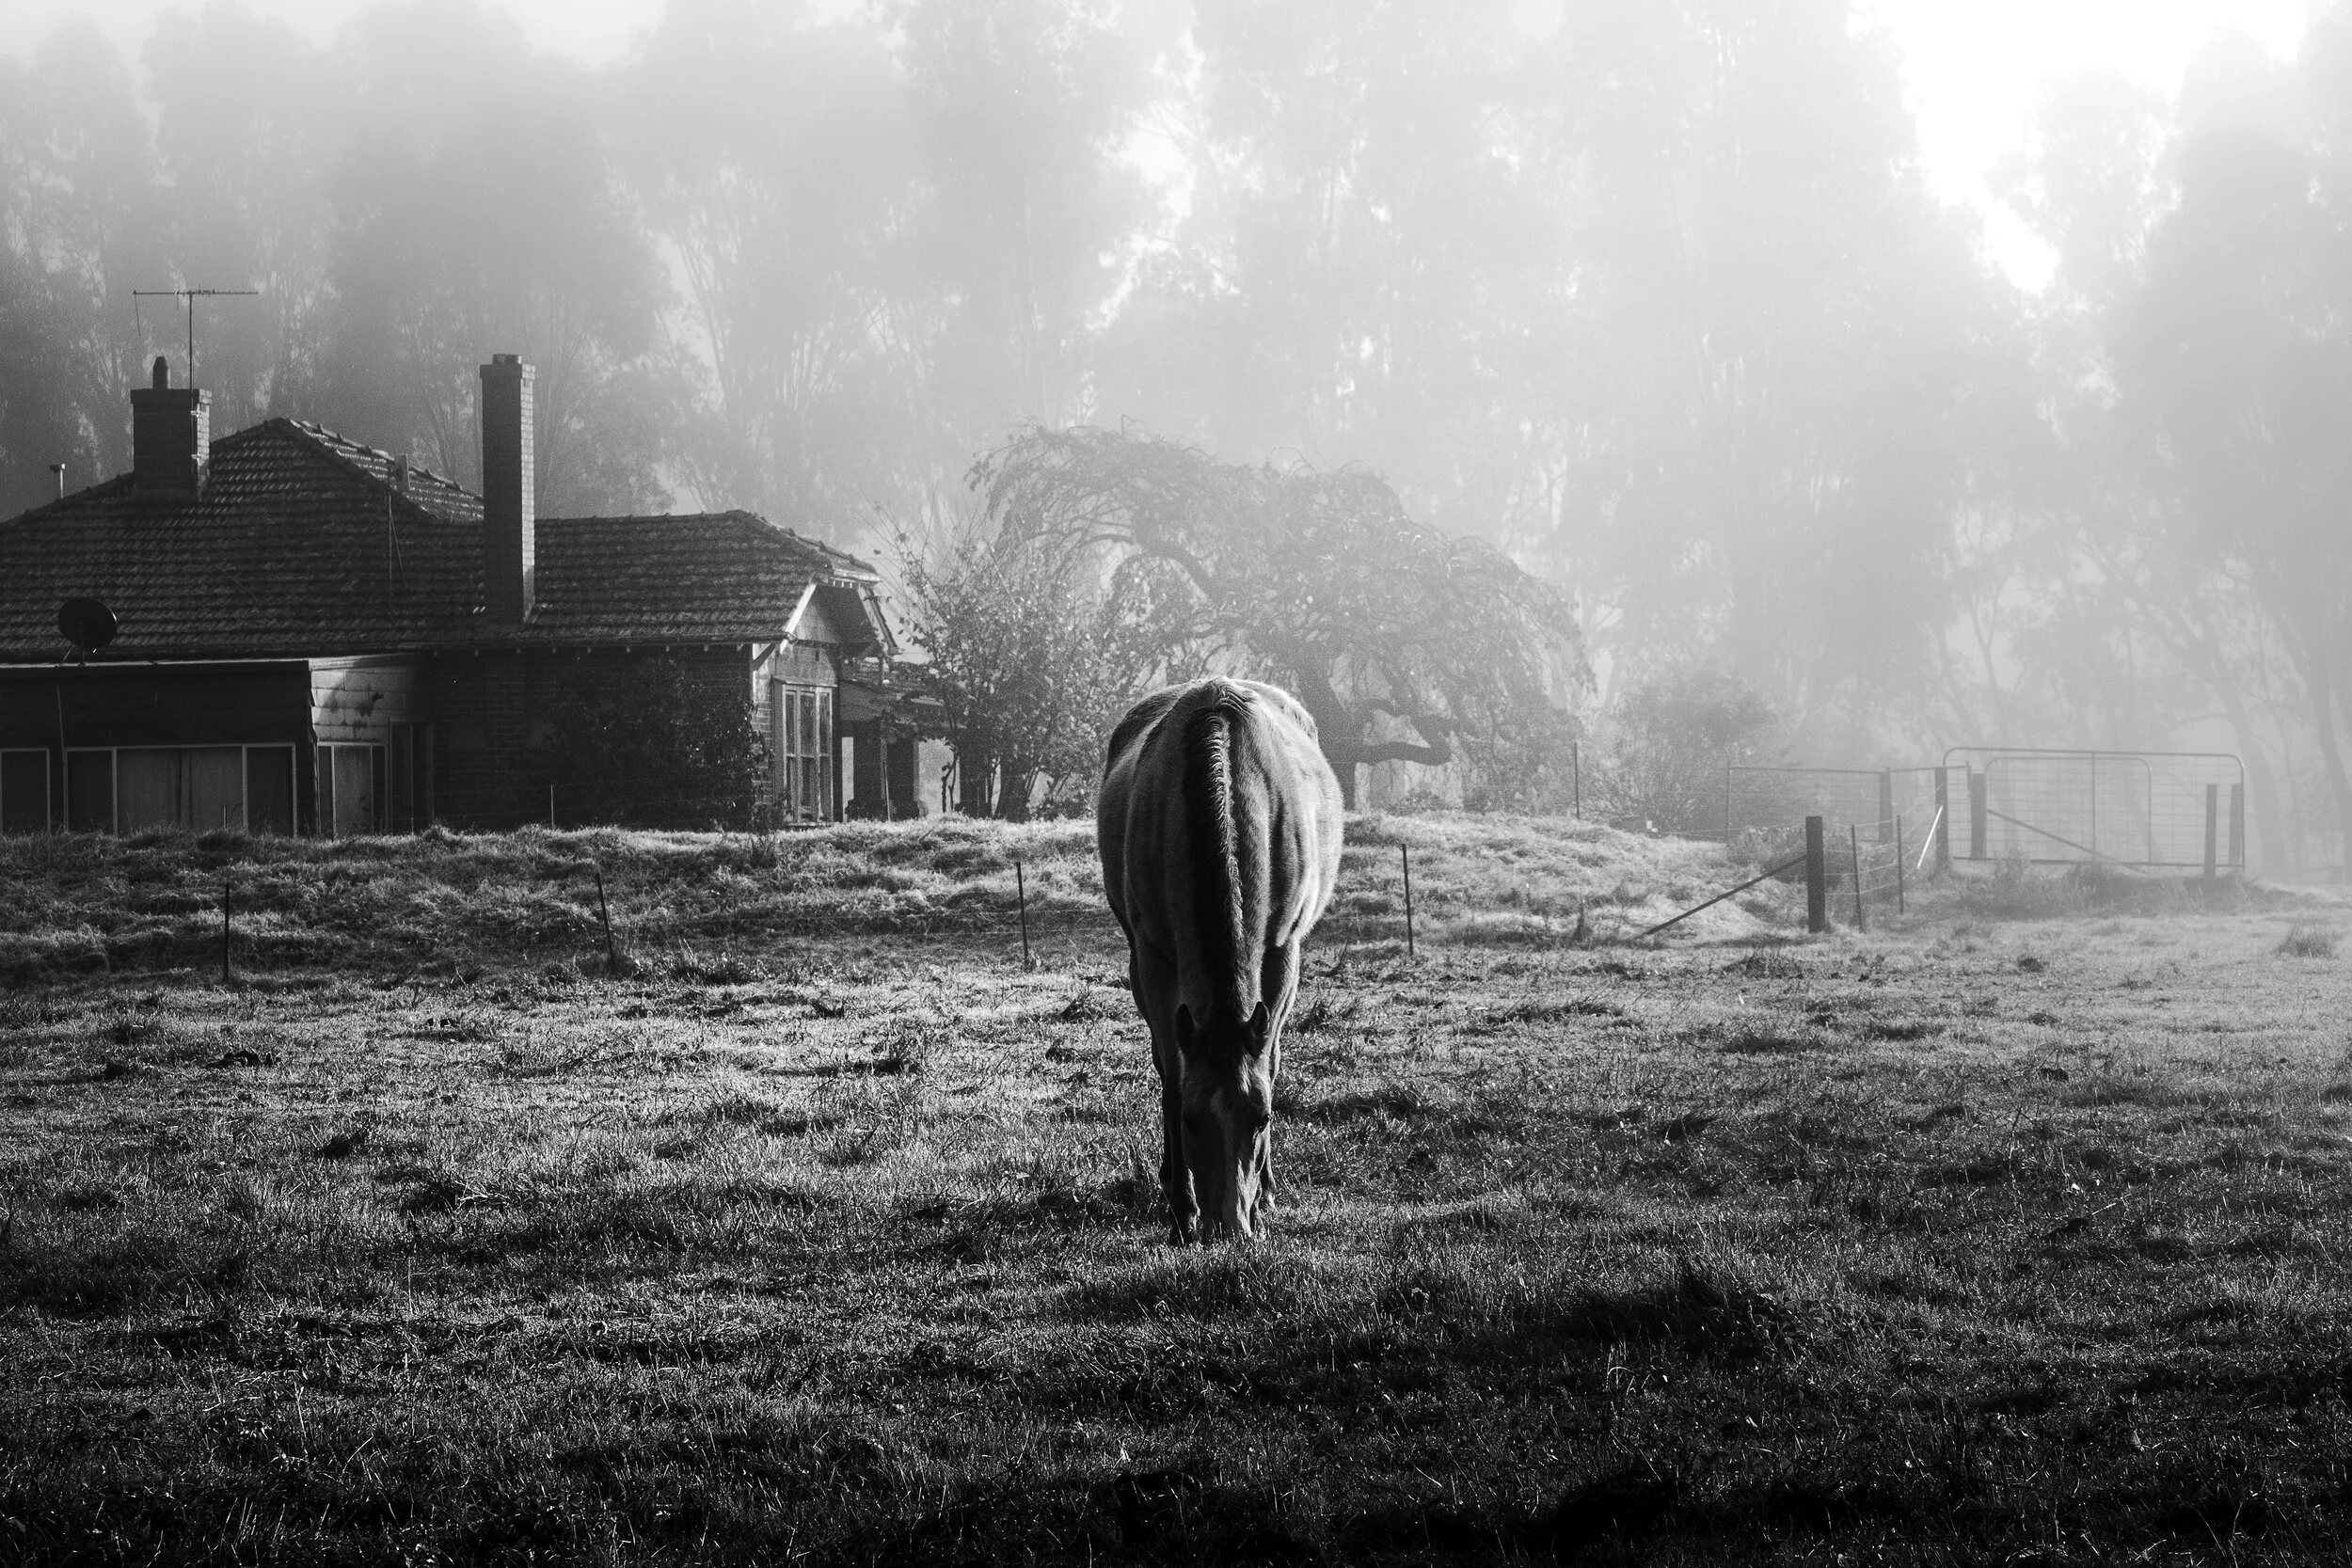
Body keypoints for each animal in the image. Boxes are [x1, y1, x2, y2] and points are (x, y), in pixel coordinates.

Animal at [1097, 678, 1345, 1242]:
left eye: (1263, 1118)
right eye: (1192, 1120)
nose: (1230, 1229)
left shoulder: (1282, 952)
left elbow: (1269, 1061)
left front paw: (1264, 1193)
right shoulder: (1153, 961)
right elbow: (1171, 1078)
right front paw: (1182, 1212)